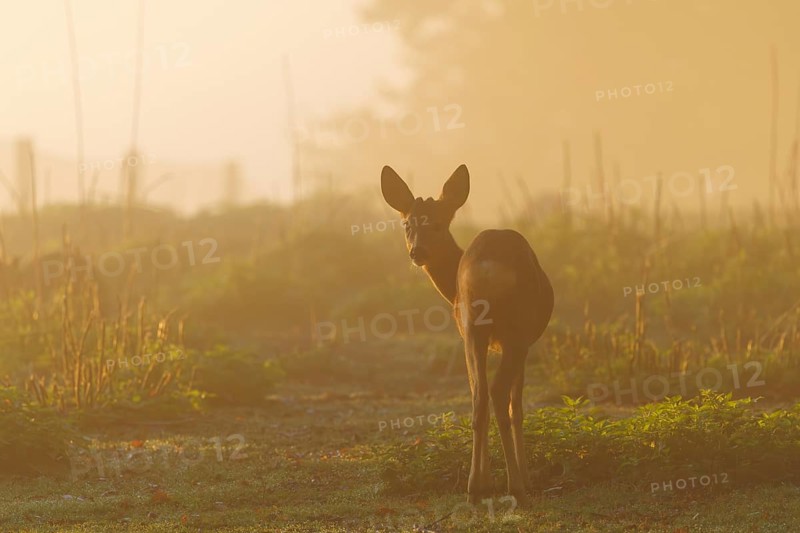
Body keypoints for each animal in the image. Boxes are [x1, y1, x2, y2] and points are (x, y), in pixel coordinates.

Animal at [380, 164, 554, 507]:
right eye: (407, 224)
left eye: (437, 223)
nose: (417, 252)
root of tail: (486, 266)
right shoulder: (525, 342)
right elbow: (518, 406)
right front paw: (525, 477)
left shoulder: (468, 334)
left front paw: (486, 481)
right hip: (513, 329)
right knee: (498, 394)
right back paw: (516, 485)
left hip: (473, 327)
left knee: (479, 398)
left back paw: (476, 486)